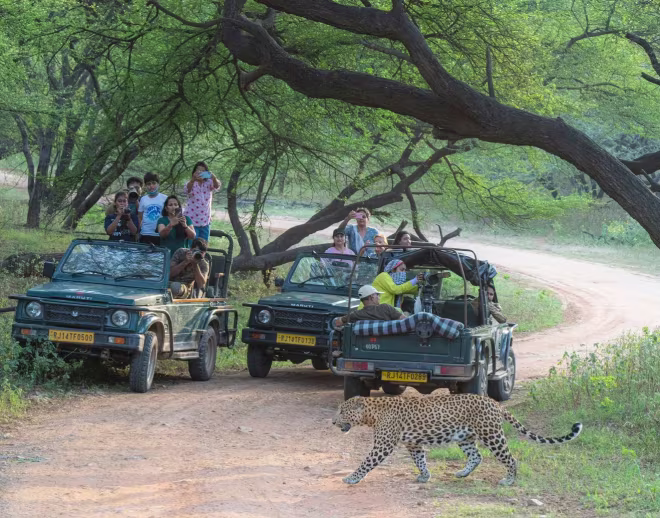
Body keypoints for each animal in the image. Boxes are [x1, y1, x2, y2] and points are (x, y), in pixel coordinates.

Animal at [332, 393, 582, 486]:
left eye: (342, 411)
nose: (333, 422)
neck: (371, 414)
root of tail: (495, 403)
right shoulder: (413, 444)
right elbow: (420, 460)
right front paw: (425, 476)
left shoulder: (383, 445)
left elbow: (366, 462)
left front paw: (351, 478)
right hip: (465, 437)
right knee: (477, 456)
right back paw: (463, 473)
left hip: (492, 435)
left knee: (511, 459)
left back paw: (509, 480)